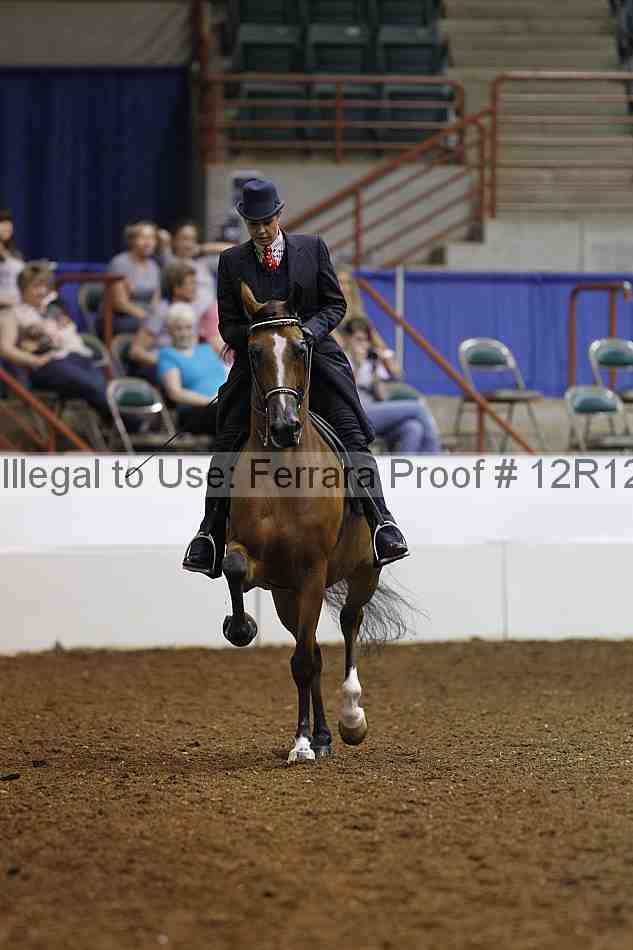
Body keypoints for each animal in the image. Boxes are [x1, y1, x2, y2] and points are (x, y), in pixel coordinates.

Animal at [221, 283, 409, 764]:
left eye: (301, 347)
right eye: (252, 352)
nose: (284, 426)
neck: (283, 473)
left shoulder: (312, 570)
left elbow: (304, 660)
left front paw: (306, 742)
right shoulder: (268, 569)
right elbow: (234, 568)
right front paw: (240, 628)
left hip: (362, 573)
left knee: (348, 623)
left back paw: (350, 719)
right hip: (287, 596)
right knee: (315, 649)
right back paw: (323, 735)